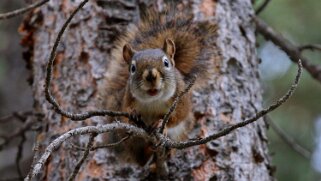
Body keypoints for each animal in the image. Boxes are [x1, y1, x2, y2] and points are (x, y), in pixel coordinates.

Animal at [99, 8, 220, 165]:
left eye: (166, 63)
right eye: (132, 68)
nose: (151, 75)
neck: (153, 100)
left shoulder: (181, 100)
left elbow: (179, 115)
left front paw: (161, 123)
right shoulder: (127, 97)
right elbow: (125, 109)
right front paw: (133, 114)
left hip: (182, 130)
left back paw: (166, 150)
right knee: (140, 157)